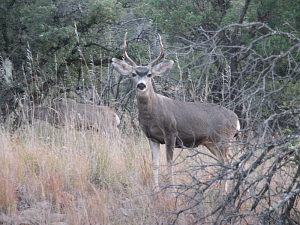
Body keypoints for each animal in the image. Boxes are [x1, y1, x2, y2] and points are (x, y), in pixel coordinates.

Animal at [112, 33, 239, 186]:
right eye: (133, 74)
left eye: (149, 74)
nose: (141, 85)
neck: (152, 115)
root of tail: (236, 119)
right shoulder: (152, 137)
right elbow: (155, 164)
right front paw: (156, 188)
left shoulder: (171, 132)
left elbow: (169, 163)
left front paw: (171, 188)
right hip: (212, 142)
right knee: (229, 161)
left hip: (223, 138)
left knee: (227, 162)